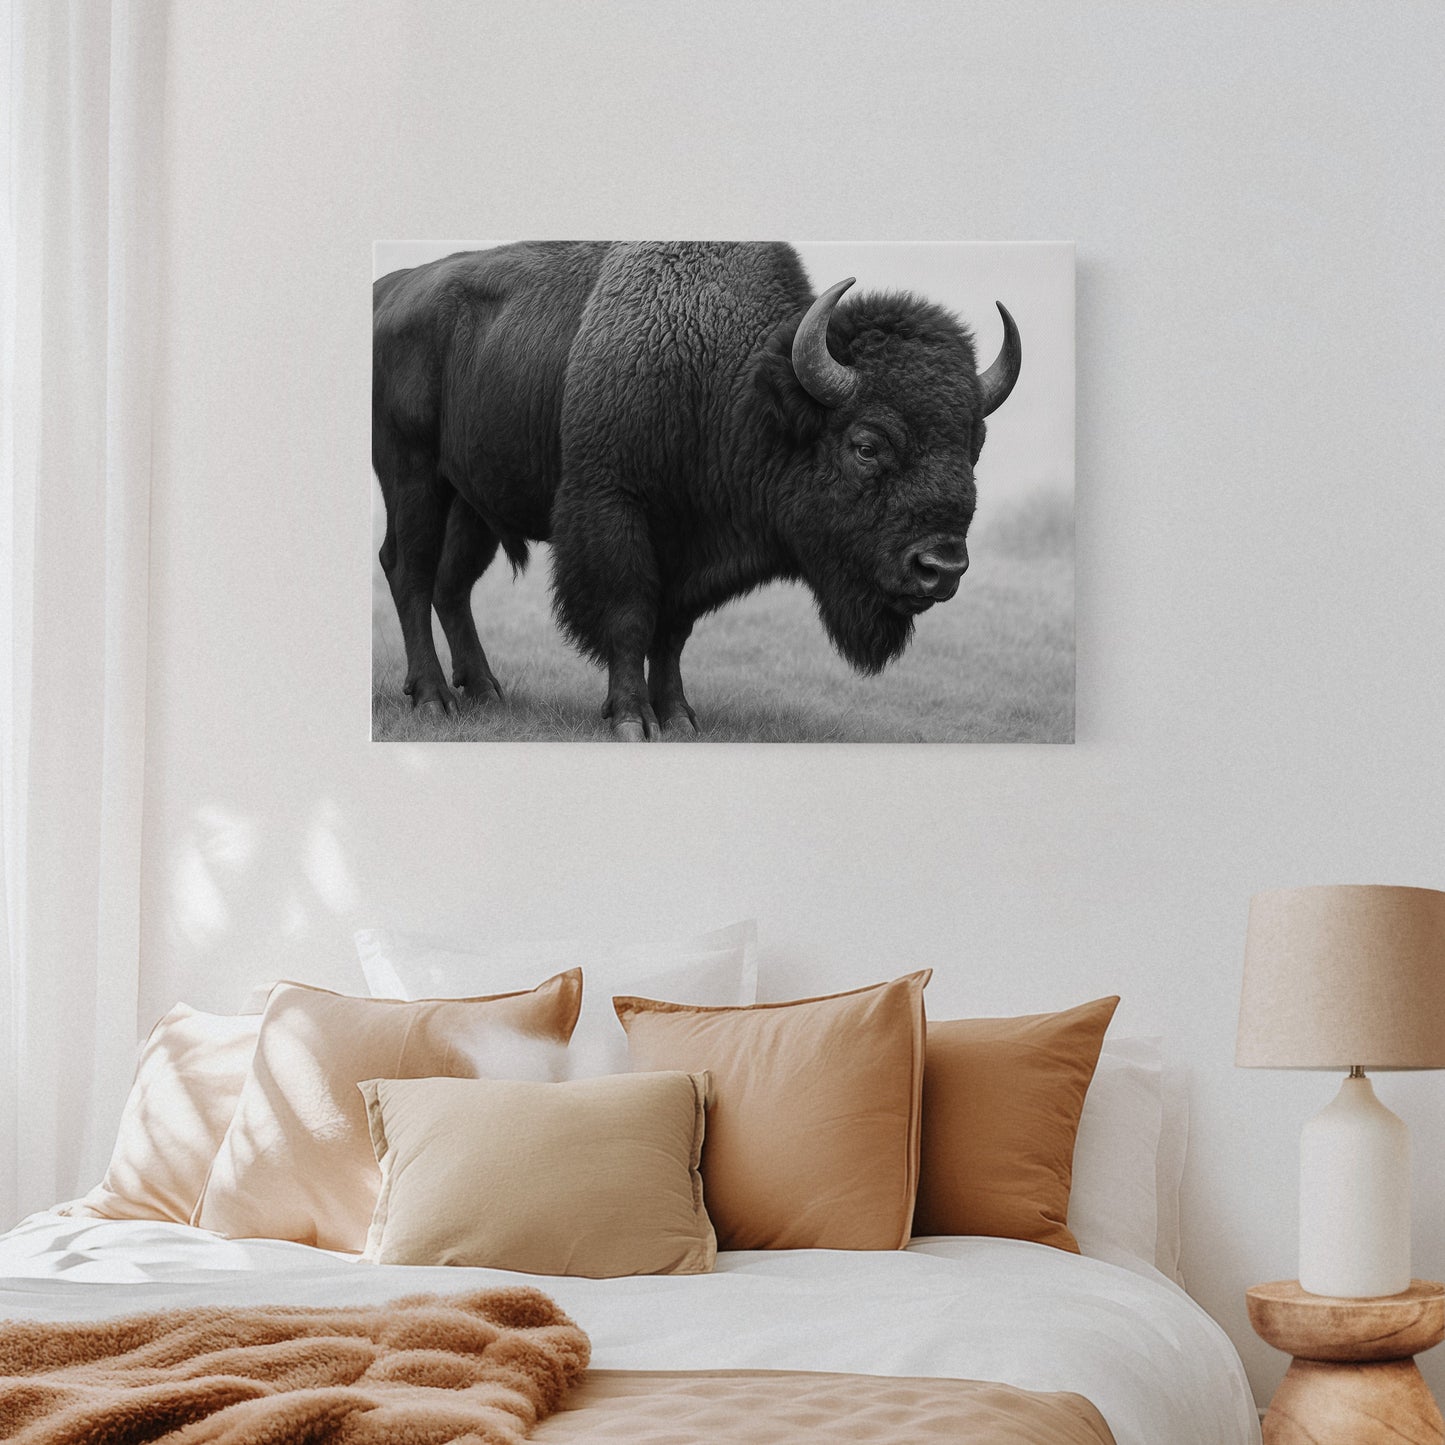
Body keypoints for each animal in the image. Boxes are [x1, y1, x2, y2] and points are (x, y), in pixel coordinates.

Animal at [372, 241, 1021, 739]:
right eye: (866, 445)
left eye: (975, 445)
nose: (941, 567)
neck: (731, 382)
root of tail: (388, 291)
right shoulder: (616, 511)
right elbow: (630, 616)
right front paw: (631, 719)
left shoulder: (688, 554)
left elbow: (672, 632)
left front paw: (679, 716)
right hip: (413, 477)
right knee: (409, 572)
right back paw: (432, 698)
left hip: (471, 503)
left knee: (451, 585)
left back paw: (485, 690)